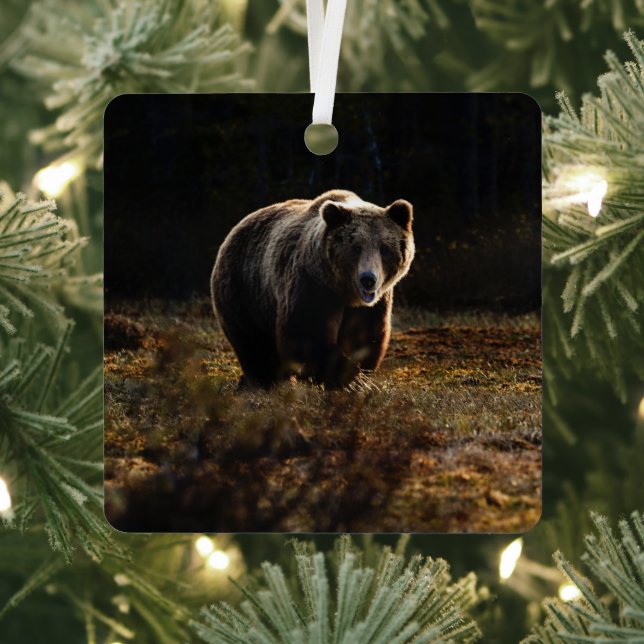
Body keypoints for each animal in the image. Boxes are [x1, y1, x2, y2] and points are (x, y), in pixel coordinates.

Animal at [211, 189, 415, 389]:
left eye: (384, 248)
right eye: (356, 247)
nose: (368, 280)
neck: (344, 292)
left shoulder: (372, 305)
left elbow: (364, 336)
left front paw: (357, 376)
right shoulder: (312, 285)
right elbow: (306, 333)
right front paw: (347, 377)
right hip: (245, 290)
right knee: (254, 344)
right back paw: (266, 381)